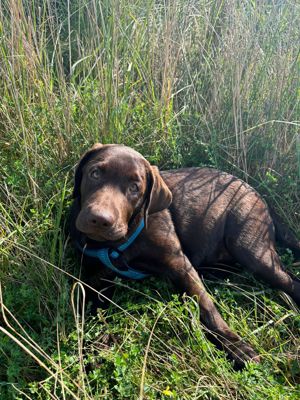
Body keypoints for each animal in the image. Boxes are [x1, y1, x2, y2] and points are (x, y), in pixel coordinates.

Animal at [68, 143, 300, 366]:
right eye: (95, 173)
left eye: (134, 188)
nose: (100, 219)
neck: (120, 243)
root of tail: (255, 192)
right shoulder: (96, 281)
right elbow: (91, 319)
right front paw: (91, 354)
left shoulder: (180, 264)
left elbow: (207, 308)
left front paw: (236, 347)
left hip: (251, 249)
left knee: (291, 281)